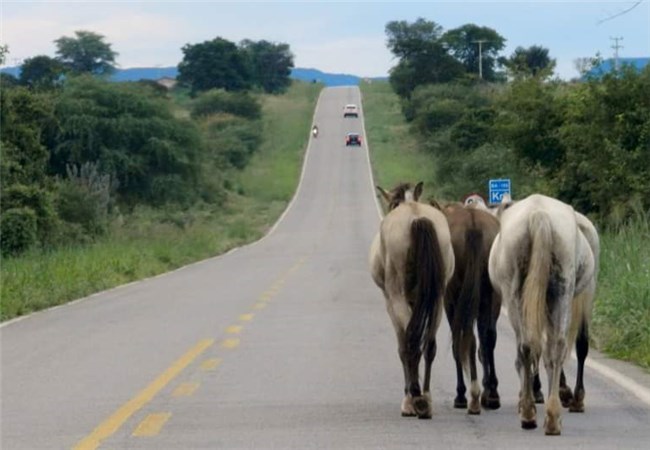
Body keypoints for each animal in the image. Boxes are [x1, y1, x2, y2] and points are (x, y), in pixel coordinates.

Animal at [369, 182, 455, 419]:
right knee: (429, 345)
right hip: (437, 302)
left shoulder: (391, 303)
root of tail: (417, 218)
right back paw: (426, 398)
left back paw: (414, 398)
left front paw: (408, 398)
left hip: (398, 298)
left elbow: (402, 346)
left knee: (411, 341)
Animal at [430, 196, 502, 414]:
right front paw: (488, 389)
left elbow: (458, 341)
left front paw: (462, 394)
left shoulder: (450, 300)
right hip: (487, 292)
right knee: (486, 337)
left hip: (457, 296)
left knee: (465, 337)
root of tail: (473, 226)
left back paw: (468, 395)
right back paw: (490, 395)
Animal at [488, 194, 598, 435]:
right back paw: (554, 415)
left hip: (515, 297)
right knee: (555, 347)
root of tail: (539, 214)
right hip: (563, 290)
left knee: (527, 347)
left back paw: (529, 412)